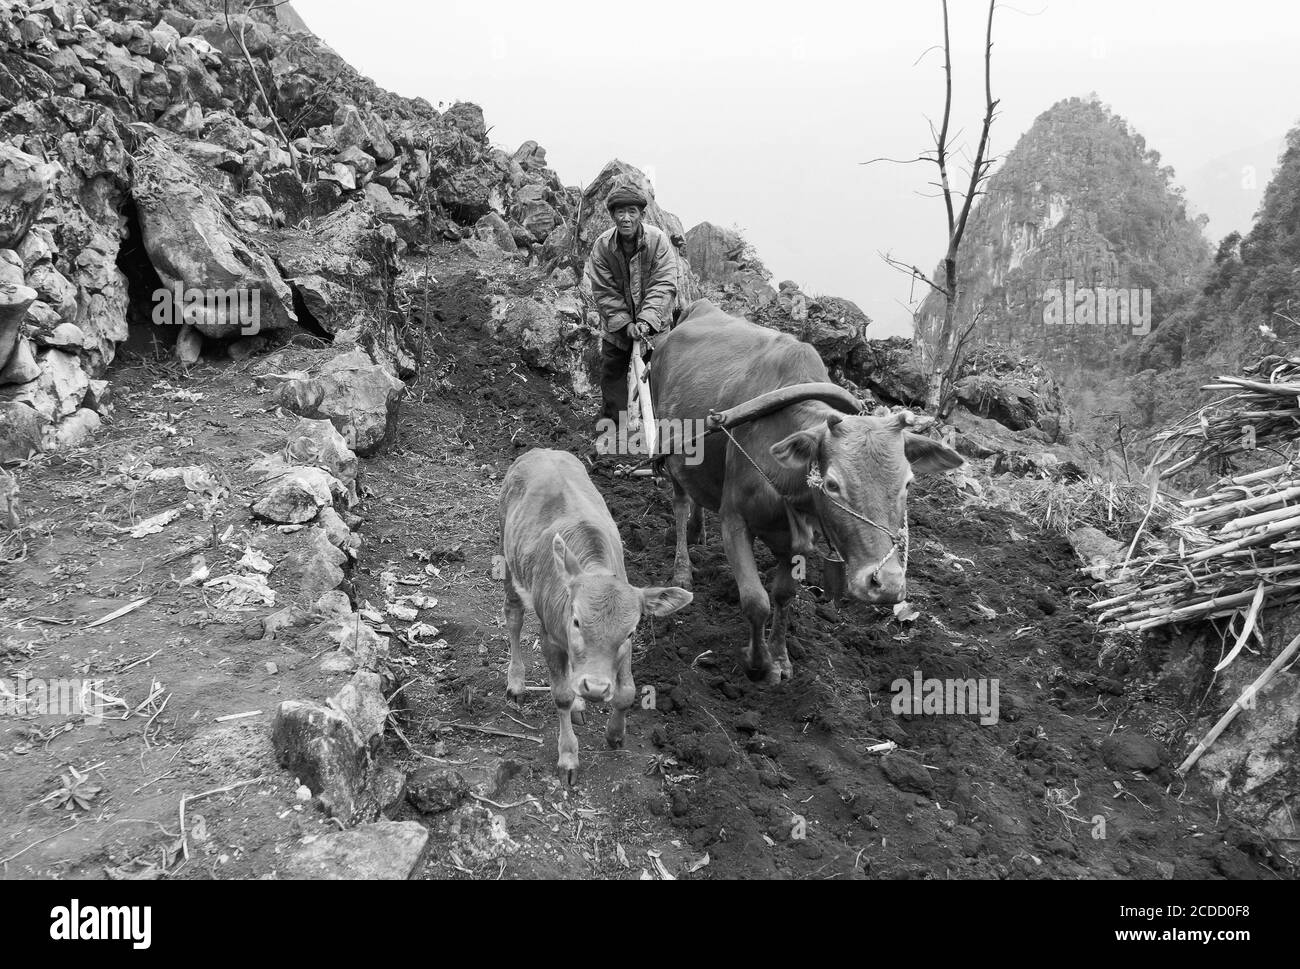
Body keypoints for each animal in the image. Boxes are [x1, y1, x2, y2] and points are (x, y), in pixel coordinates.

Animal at [499, 450, 702, 780]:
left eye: (631, 631)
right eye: (576, 621)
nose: (594, 688)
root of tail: (542, 450)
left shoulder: (625, 649)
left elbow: (627, 692)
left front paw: (615, 733)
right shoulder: (550, 637)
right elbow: (561, 695)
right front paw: (568, 756)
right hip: (506, 553)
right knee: (514, 615)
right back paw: (516, 682)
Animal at [655, 299, 961, 686]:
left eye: (908, 483)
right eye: (832, 484)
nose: (886, 585)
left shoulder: (795, 537)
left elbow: (784, 595)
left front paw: (781, 658)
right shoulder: (734, 520)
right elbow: (756, 601)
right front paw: (758, 663)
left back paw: (698, 531)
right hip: (669, 452)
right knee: (680, 503)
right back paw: (682, 568)